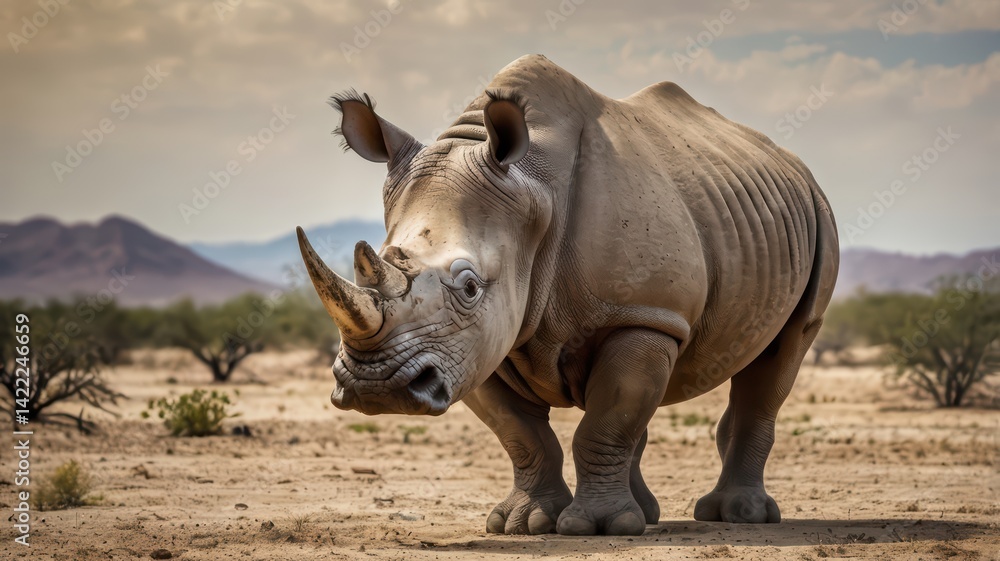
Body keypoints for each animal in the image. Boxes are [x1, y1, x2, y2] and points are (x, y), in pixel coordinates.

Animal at [297, 54, 838, 536]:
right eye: (372, 262)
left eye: (469, 287)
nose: (377, 387)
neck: (534, 195)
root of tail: (791, 162)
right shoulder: (474, 345)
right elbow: (525, 434)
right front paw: (523, 525)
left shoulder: (643, 314)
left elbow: (603, 424)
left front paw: (596, 528)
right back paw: (648, 516)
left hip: (817, 216)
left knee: (784, 352)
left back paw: (735, 516)